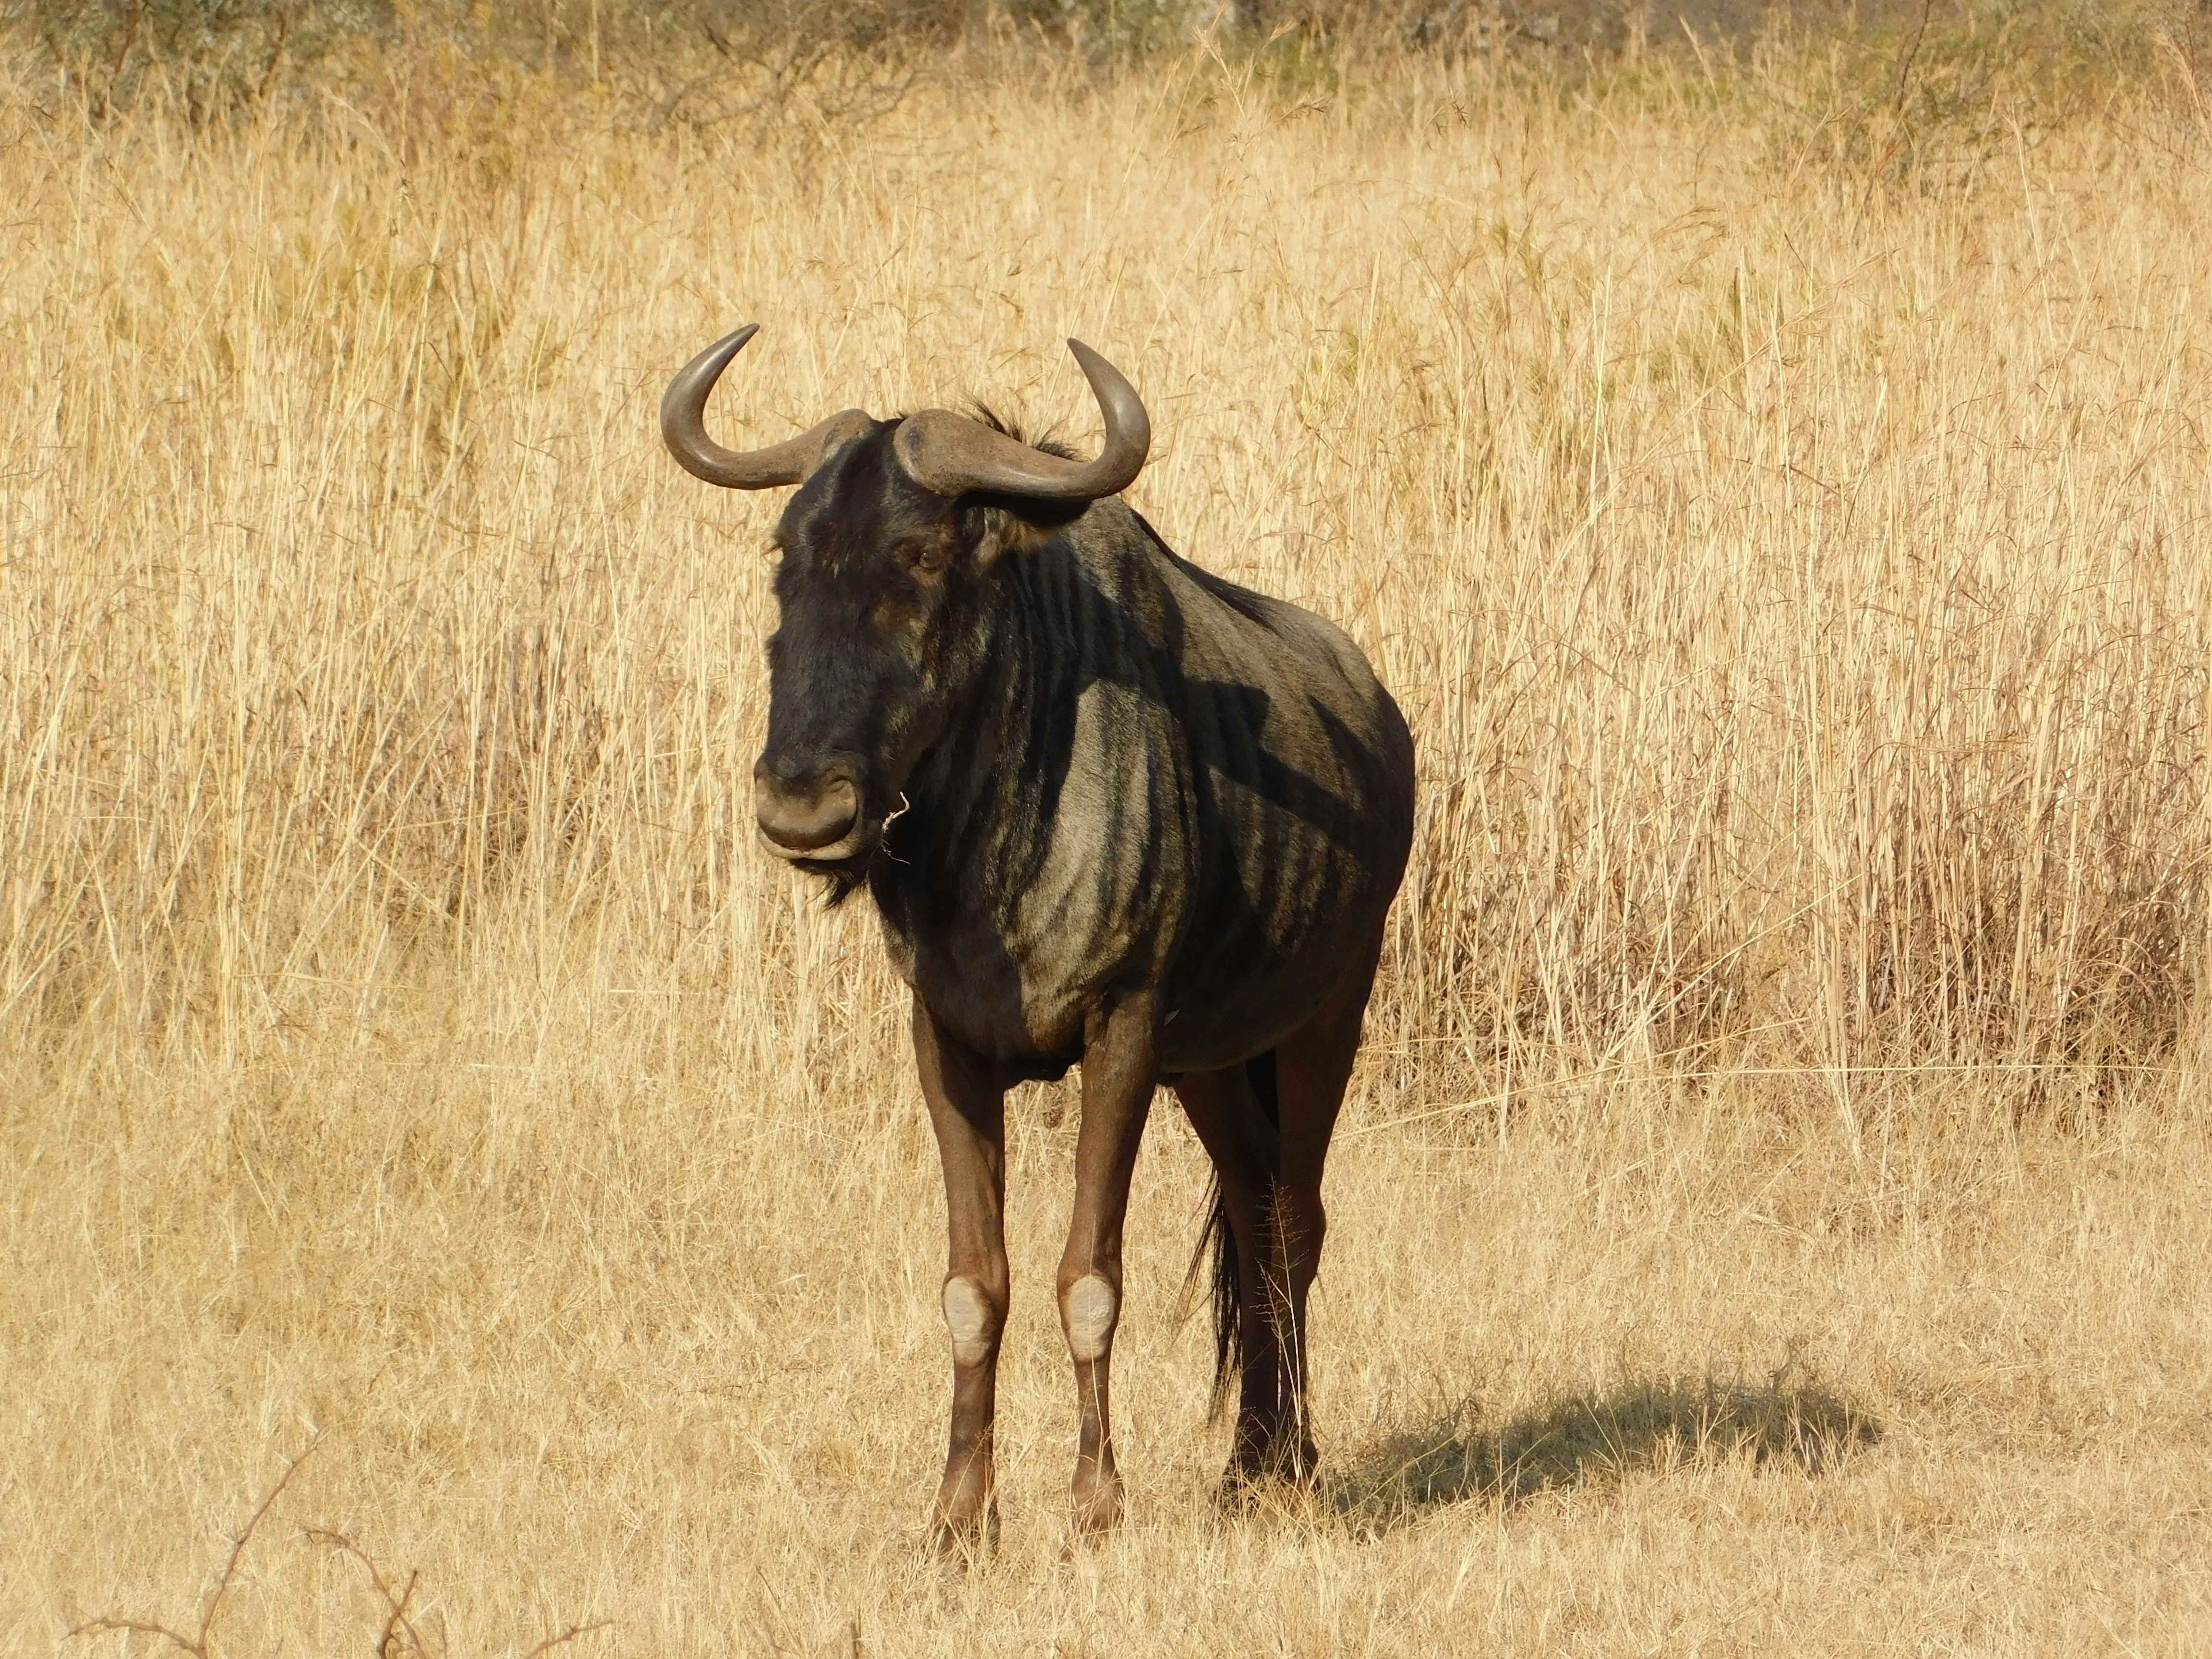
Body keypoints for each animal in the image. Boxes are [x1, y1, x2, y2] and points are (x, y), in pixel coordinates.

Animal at [661, 326, 1415, 1550]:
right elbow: (978, 1284)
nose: (804, 812)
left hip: (1326, 1018)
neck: (990, 853)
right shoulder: (949, 1048)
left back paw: (1294, 1465)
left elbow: (1088, 1275)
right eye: (789, 557)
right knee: (1255, 1213)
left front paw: (1095, 1503)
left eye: (923, 560)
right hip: (1212, 1068)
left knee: (1297, 1219)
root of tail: (1381, 715)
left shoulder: (1123, 1038)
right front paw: (961, 1514)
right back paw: (1248, 1462)